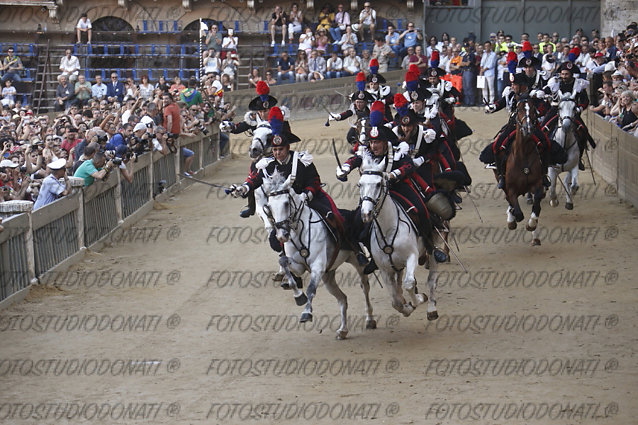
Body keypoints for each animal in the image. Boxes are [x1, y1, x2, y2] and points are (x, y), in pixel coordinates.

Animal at [262, 169, 378, 338]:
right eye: (269, 206)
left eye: (286, 203)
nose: (282, 235)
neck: (299, 230)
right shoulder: (299, 267)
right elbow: (283, 262)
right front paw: (298, 296)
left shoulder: (317, 266)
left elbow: (311, 289)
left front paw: (306, 313)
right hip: (328, 276)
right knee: (342, 298)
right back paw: (343, 330)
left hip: (357, 263)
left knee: (365, 287)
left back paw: (370, 320)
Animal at [360, 149, 440, 318]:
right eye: (360, 184)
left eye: (379, 184)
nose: (366, 214)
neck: (388, 230)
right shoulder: (385, 269)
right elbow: (395, 300)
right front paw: (407, 308)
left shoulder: (412, 256)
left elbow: (409, 284)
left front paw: (418, 299)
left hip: (432, 247)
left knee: (431, 279)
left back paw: (431, 308)